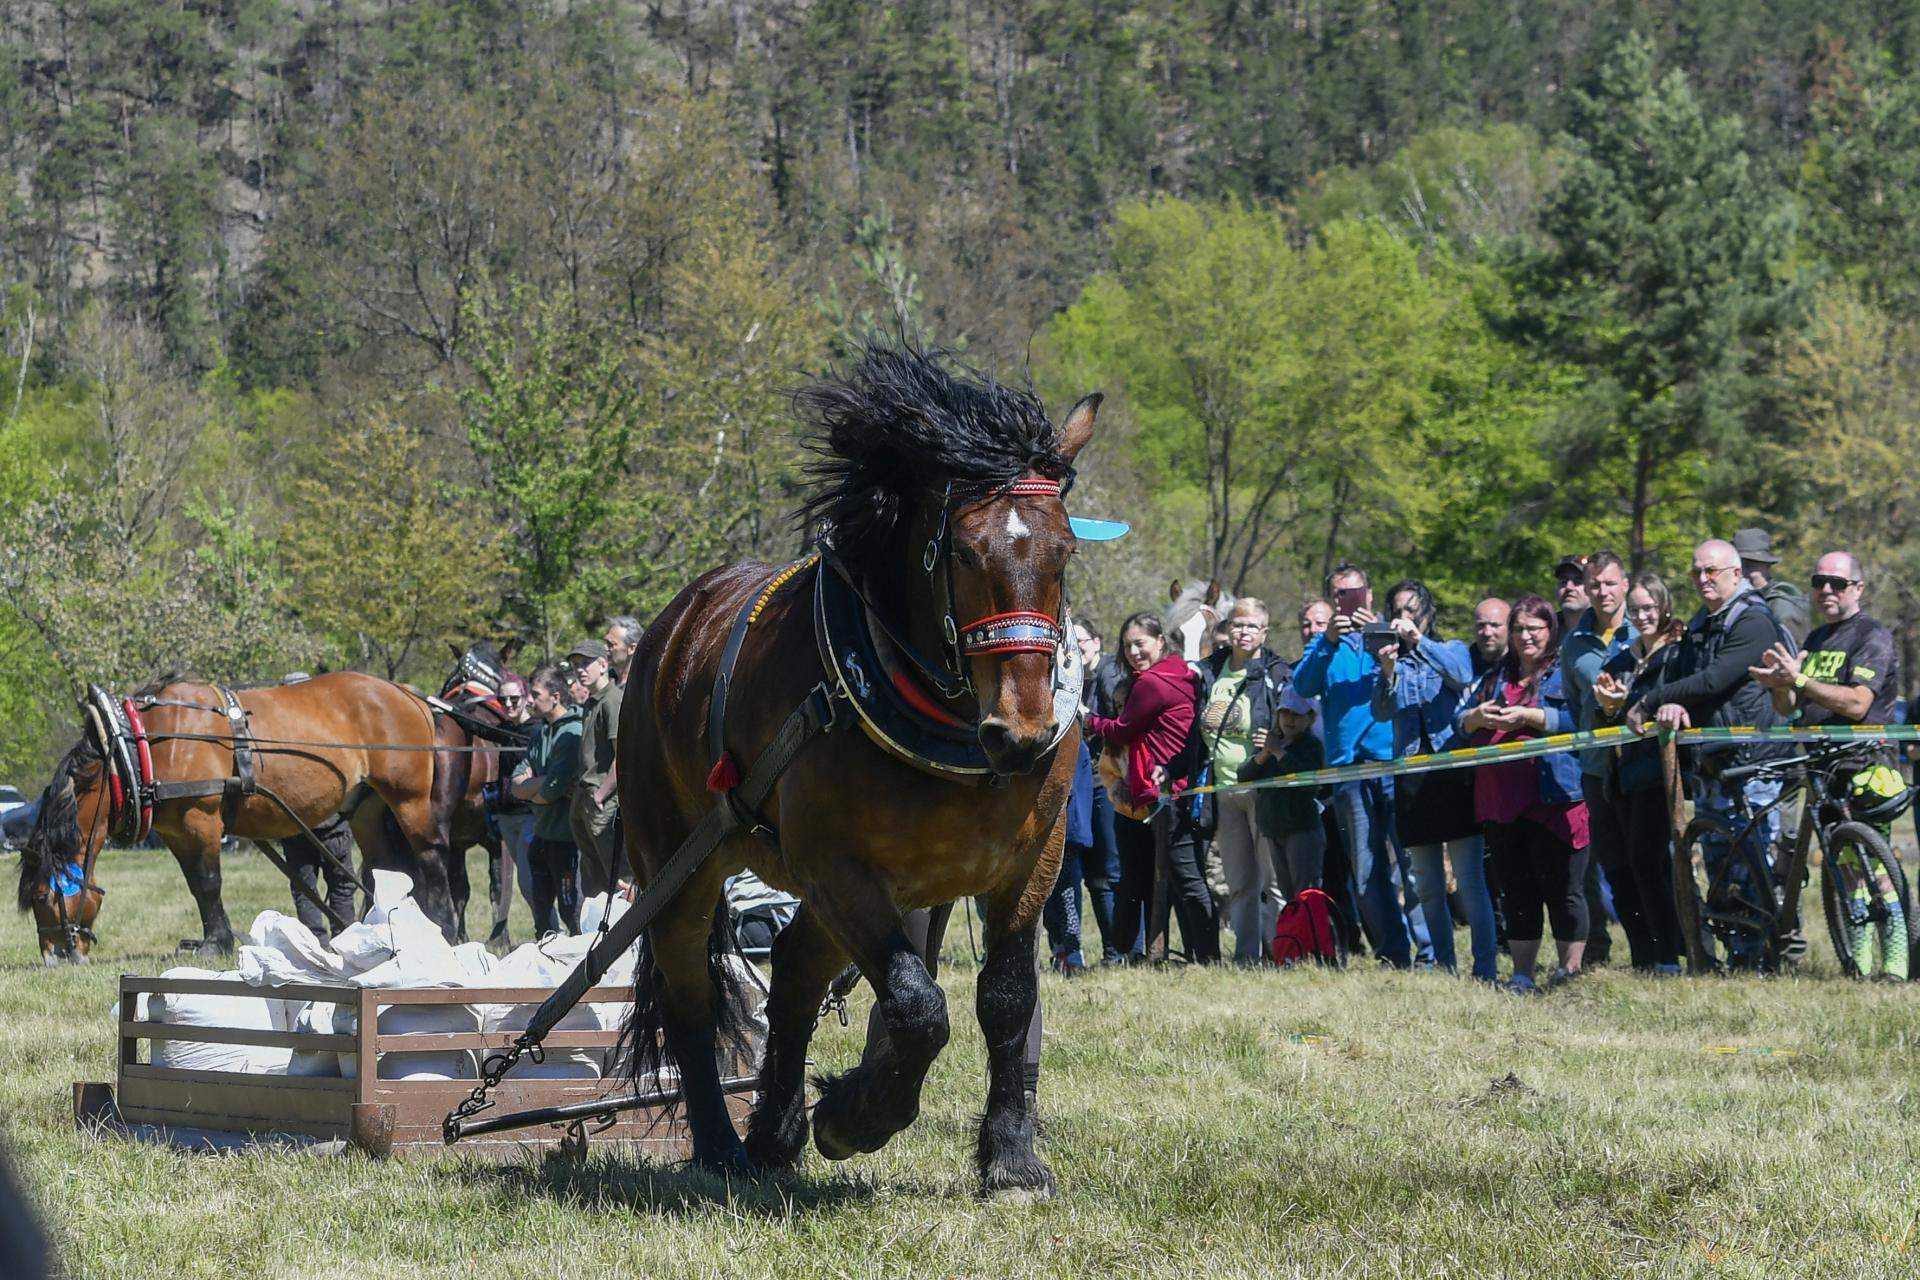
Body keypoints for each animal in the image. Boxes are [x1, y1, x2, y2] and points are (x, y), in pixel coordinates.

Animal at [19, 671, 445, 959]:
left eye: (40, 896)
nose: (55, 956)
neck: (139, 745)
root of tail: (405, 692)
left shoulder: (201, 818)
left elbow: (209, 883)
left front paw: (216, 945)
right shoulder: (176, 831)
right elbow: (196, 886)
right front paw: (215, 939)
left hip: (410, 800)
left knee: (431, 859)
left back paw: (444, 928)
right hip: (367, 810)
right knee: (388, 868)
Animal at [614, 345, 1098, 1197]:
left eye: (1064, 551)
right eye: (964, 551)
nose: (1024, 732)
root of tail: (668, 633)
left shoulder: (1030, 864)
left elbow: (1006, 1001)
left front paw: (1010, 1157)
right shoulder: (839, 867)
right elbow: (917, 1006)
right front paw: (855, 1116)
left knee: (796, 971)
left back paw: (772, 1132)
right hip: (683, 865)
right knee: (691, 998)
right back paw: (721, 1145)